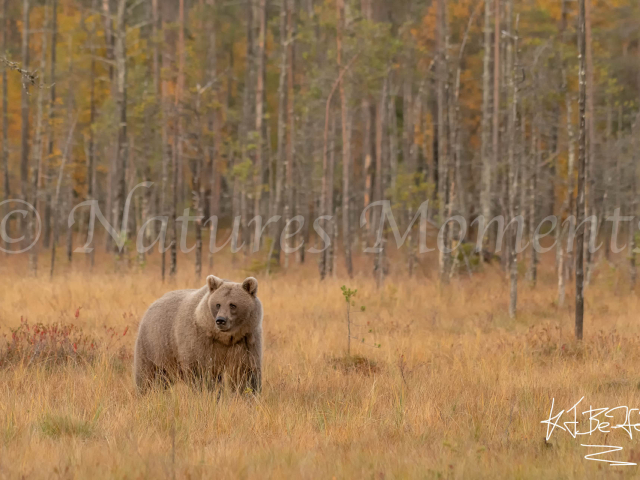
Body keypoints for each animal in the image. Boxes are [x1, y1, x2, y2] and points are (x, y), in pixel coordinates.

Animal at [132, 274, 262, 394]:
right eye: (218, 304)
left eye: (233, 305)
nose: (220, 320)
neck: (225, 338)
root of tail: (152, 305)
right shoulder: (201, 341)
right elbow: (201, 372)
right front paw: (208, 393)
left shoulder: (245, 342)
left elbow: (245, 373)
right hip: (153, 346)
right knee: (147, 376)